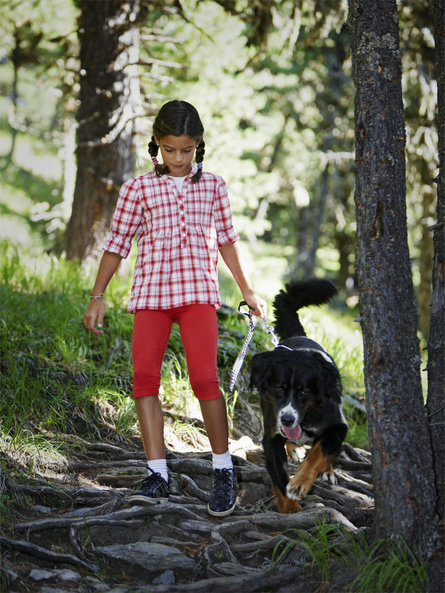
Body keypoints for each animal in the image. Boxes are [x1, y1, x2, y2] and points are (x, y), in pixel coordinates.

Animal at [250, 278, 346, 512]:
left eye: (304, 391)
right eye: (279, 389)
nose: (287, 419)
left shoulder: (338, 426)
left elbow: (319, 453)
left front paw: (300, 483)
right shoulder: (272, 435)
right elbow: (278, 475)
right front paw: (290, 507)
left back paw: (327, 471)